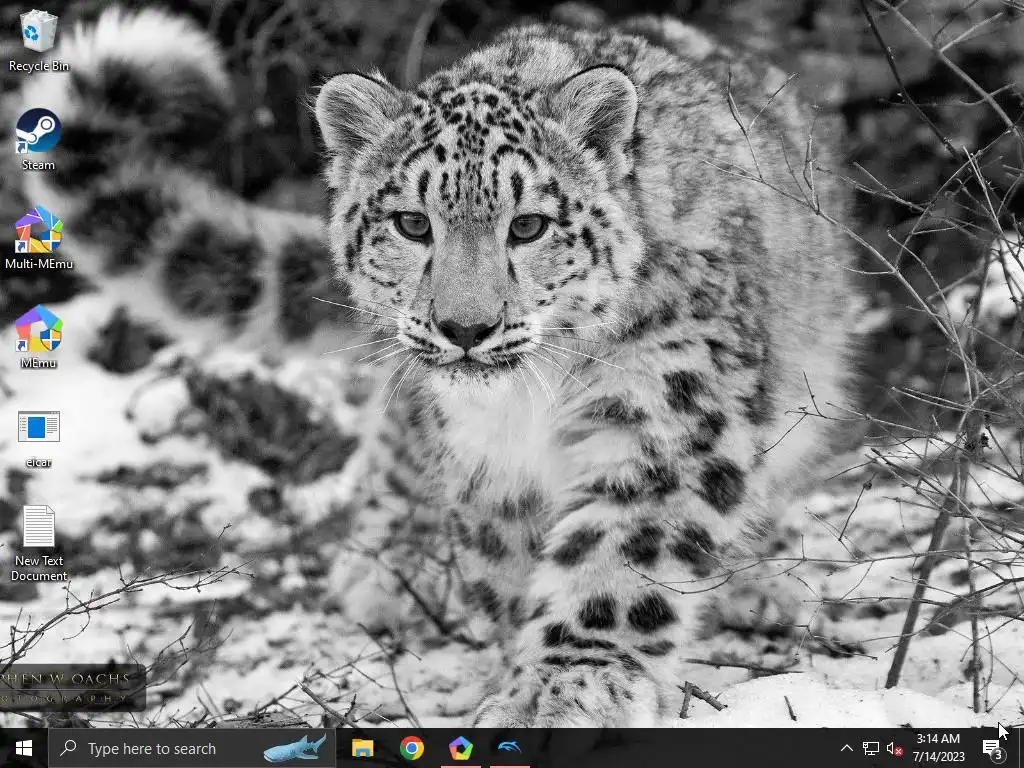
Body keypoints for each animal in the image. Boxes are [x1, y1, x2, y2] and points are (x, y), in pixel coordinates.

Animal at [9, 6, 860, 727]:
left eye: (530, 225)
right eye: (413, 224)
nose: (466, 327)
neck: (530, 404)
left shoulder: (663, 410)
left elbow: (619, 555)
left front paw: (565, 688)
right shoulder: (486, 460)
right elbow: (507, 565)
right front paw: (518, 670)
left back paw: (757, 587)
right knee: (395, 433)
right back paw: (387, 568)